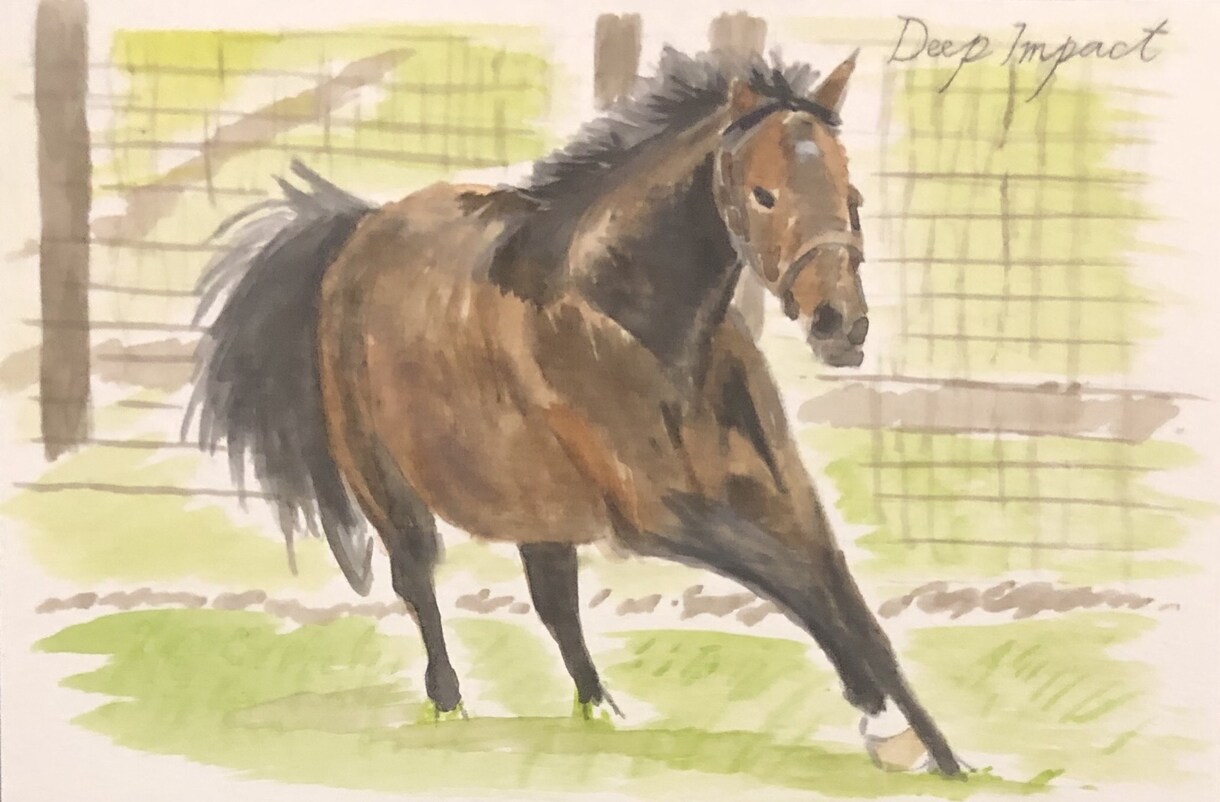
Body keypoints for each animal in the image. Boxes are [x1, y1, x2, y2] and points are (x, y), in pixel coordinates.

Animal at [187, 47, 962, 776]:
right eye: (763, 194)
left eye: (850, 192)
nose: (841, 325)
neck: (643, 328)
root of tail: (359, 228)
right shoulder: (659, 514)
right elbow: (798, 584)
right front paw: (877, 717)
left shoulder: (786, 498)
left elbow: (849, 606)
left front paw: (944, 756)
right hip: (388, 488)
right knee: (418, 582)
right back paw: (451, 706)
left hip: (535, 503)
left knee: (554, 603)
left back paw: (602, 714)